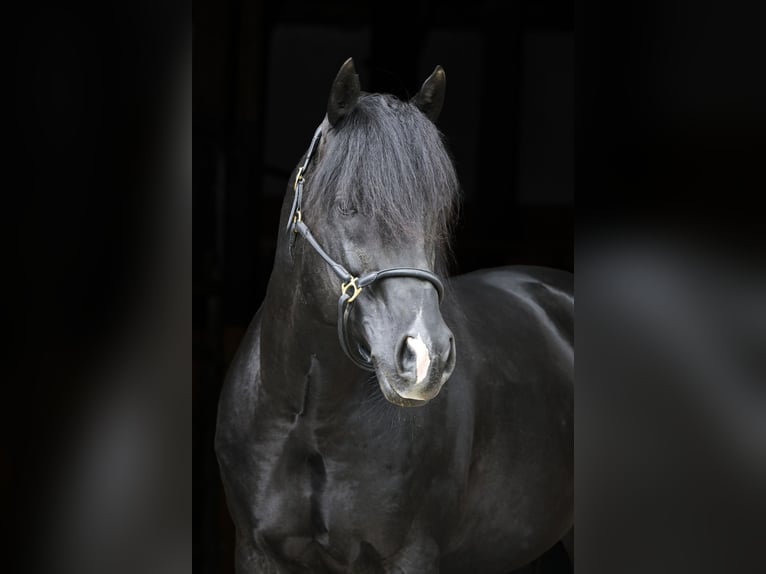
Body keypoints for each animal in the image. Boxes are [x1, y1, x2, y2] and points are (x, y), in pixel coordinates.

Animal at [215, 57, 573, 574]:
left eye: (439, 212)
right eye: (347, 205)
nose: (426, 358)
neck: (307, 419)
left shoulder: (410, 554)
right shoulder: (256, 550)